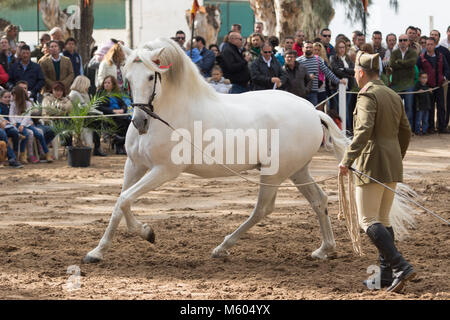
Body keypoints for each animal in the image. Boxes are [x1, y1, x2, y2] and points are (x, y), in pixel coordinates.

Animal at [83, 37, 412, 264]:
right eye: (127, 77)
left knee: (263, 209)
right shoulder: (135, 165)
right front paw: (108, 247)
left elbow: (124, 200)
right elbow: (121, 204)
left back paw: (223, 247)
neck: (169, 113)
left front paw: (132, 238)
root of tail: (311, 110)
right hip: (298, 170)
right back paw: (323, 250)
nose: (139, 122)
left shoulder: (164, 171)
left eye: (152, 76)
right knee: (319, 201)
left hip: (275, 174)